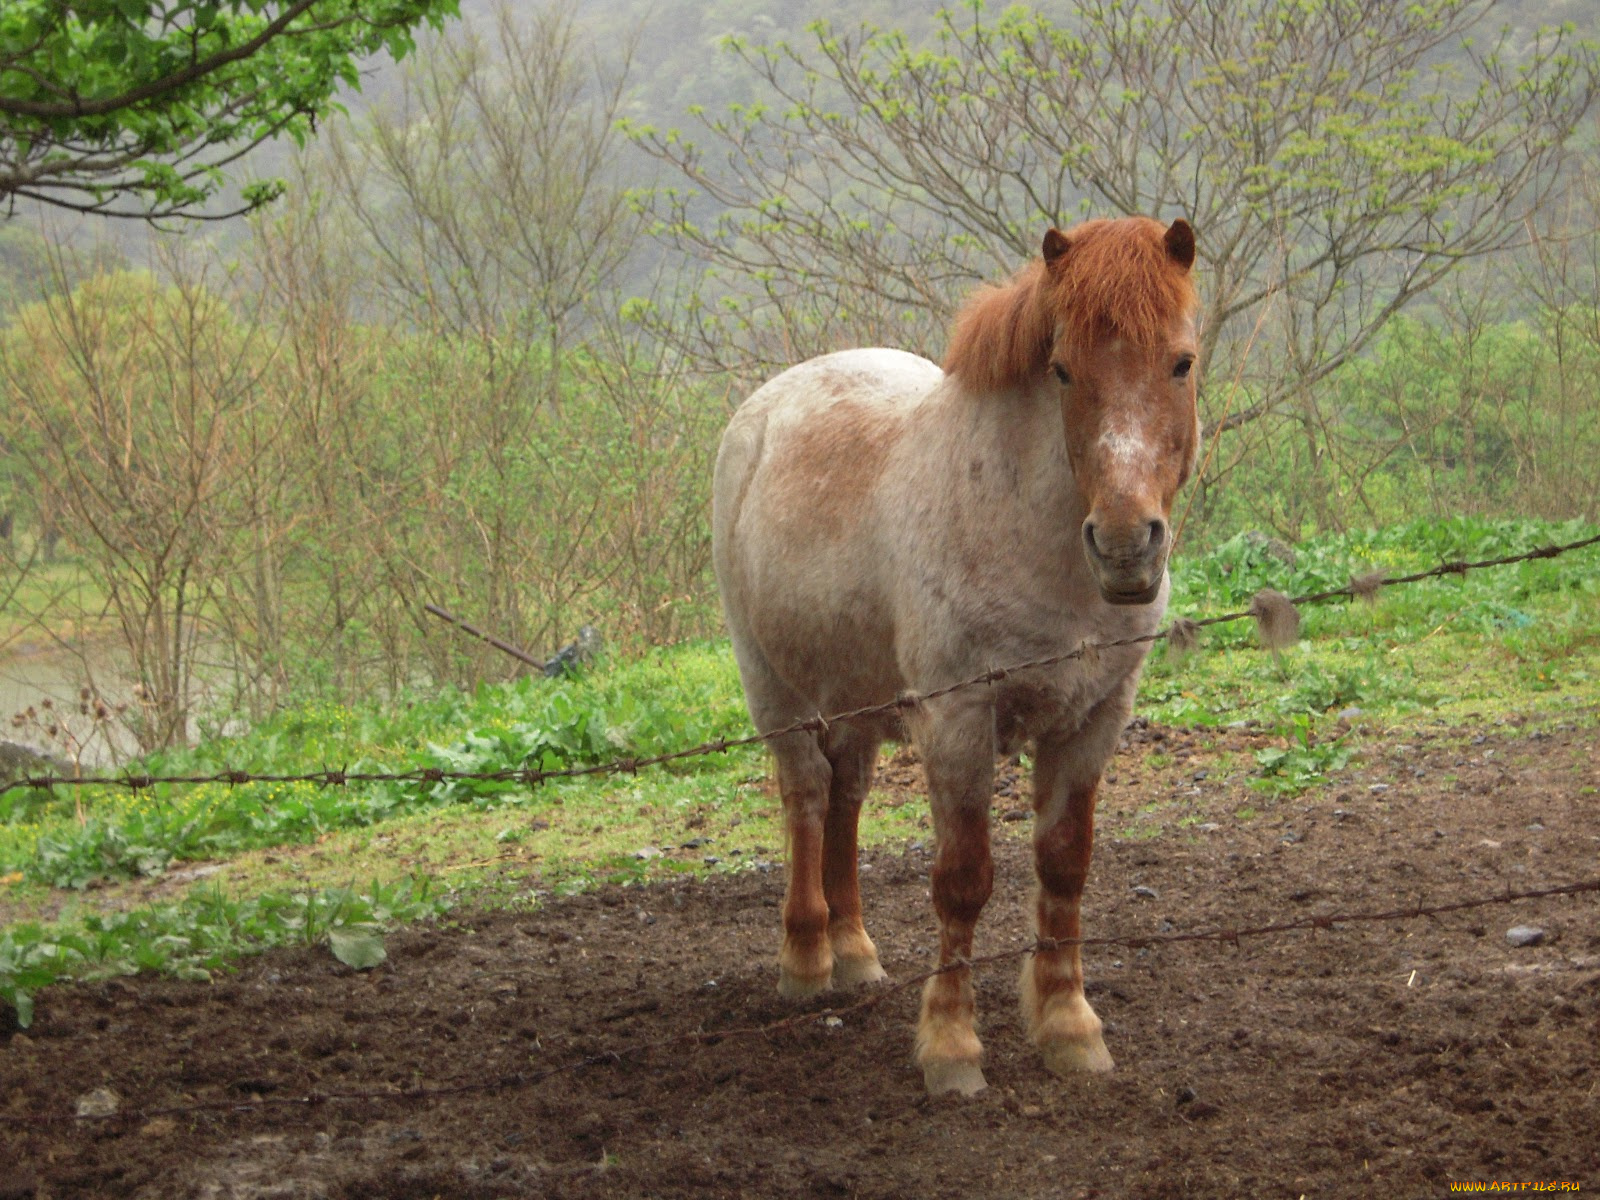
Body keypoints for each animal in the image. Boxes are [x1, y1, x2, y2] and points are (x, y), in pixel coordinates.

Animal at [713, 214, 1203, 1100]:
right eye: (1062, 369)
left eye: (1180, 362)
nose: (1124, 547)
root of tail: (769, 405)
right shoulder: (958, 721)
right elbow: (963, 882)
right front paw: (950, 1047)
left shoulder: (1093, 722)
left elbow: (1064, 868)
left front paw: (1068, 1027)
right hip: (773, 689)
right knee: (806, 797)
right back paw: (806, 959)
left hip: (861, 700)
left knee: (846, 799)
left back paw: (856, 954)